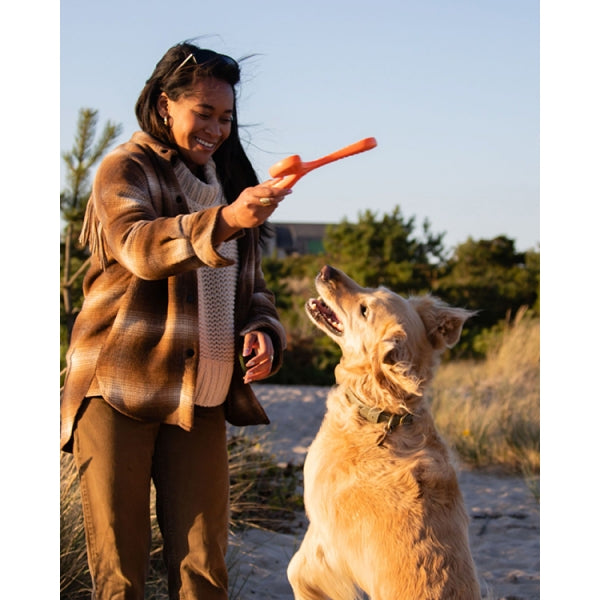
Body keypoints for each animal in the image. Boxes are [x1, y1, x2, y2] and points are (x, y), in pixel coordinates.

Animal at [288, 264, 480, 596]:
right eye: (374, 288)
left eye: (364, 311)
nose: (328, 270)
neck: (385, 413)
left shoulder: (323, 529)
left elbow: (297, 571)